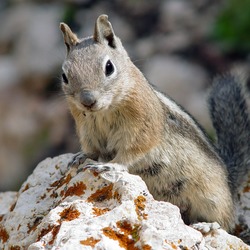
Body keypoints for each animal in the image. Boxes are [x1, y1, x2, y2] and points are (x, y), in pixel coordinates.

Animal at [59, 14, 250, 232]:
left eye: (109, 67)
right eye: (65, 76)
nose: (88, 101)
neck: (102, 112)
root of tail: (231, 183)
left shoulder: (142, 127)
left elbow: (132, 151)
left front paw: (111, 166)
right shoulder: (86, 130)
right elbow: (91, 149)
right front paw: (80, 156)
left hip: (212, 199)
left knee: (224, 222)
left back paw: (207, 225)